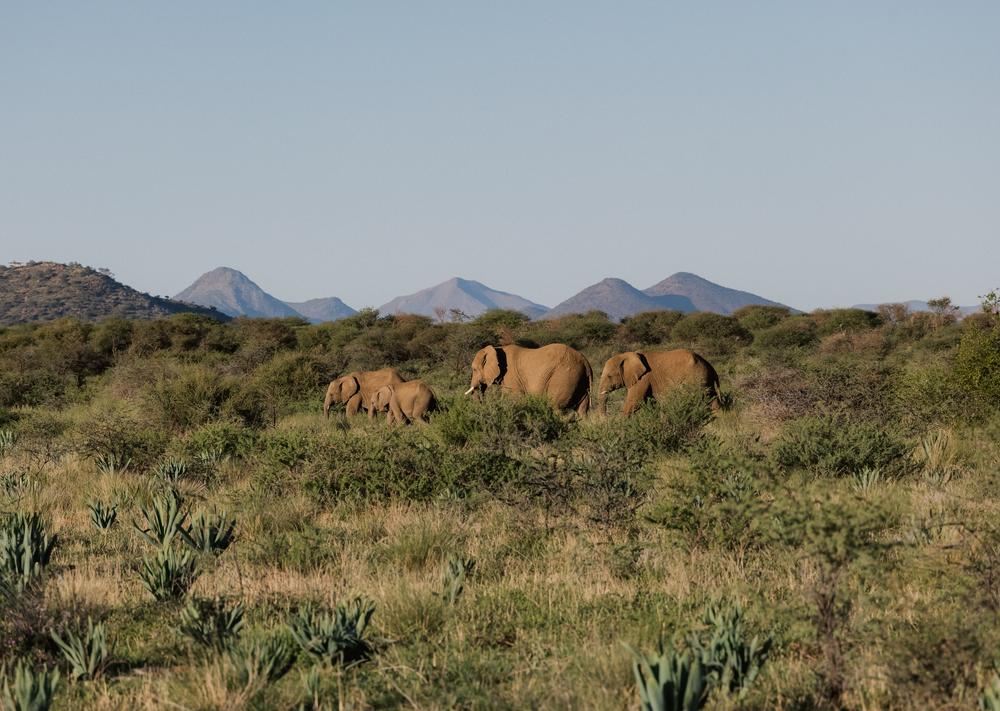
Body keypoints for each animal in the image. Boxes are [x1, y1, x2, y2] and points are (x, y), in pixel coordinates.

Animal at [592, 350, 720, 418]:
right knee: (712, 399)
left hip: (696, 378)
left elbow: (635, 401)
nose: (606, 418)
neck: (627, 355)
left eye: (609, 376)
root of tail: (710, 366)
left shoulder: (643, 378)